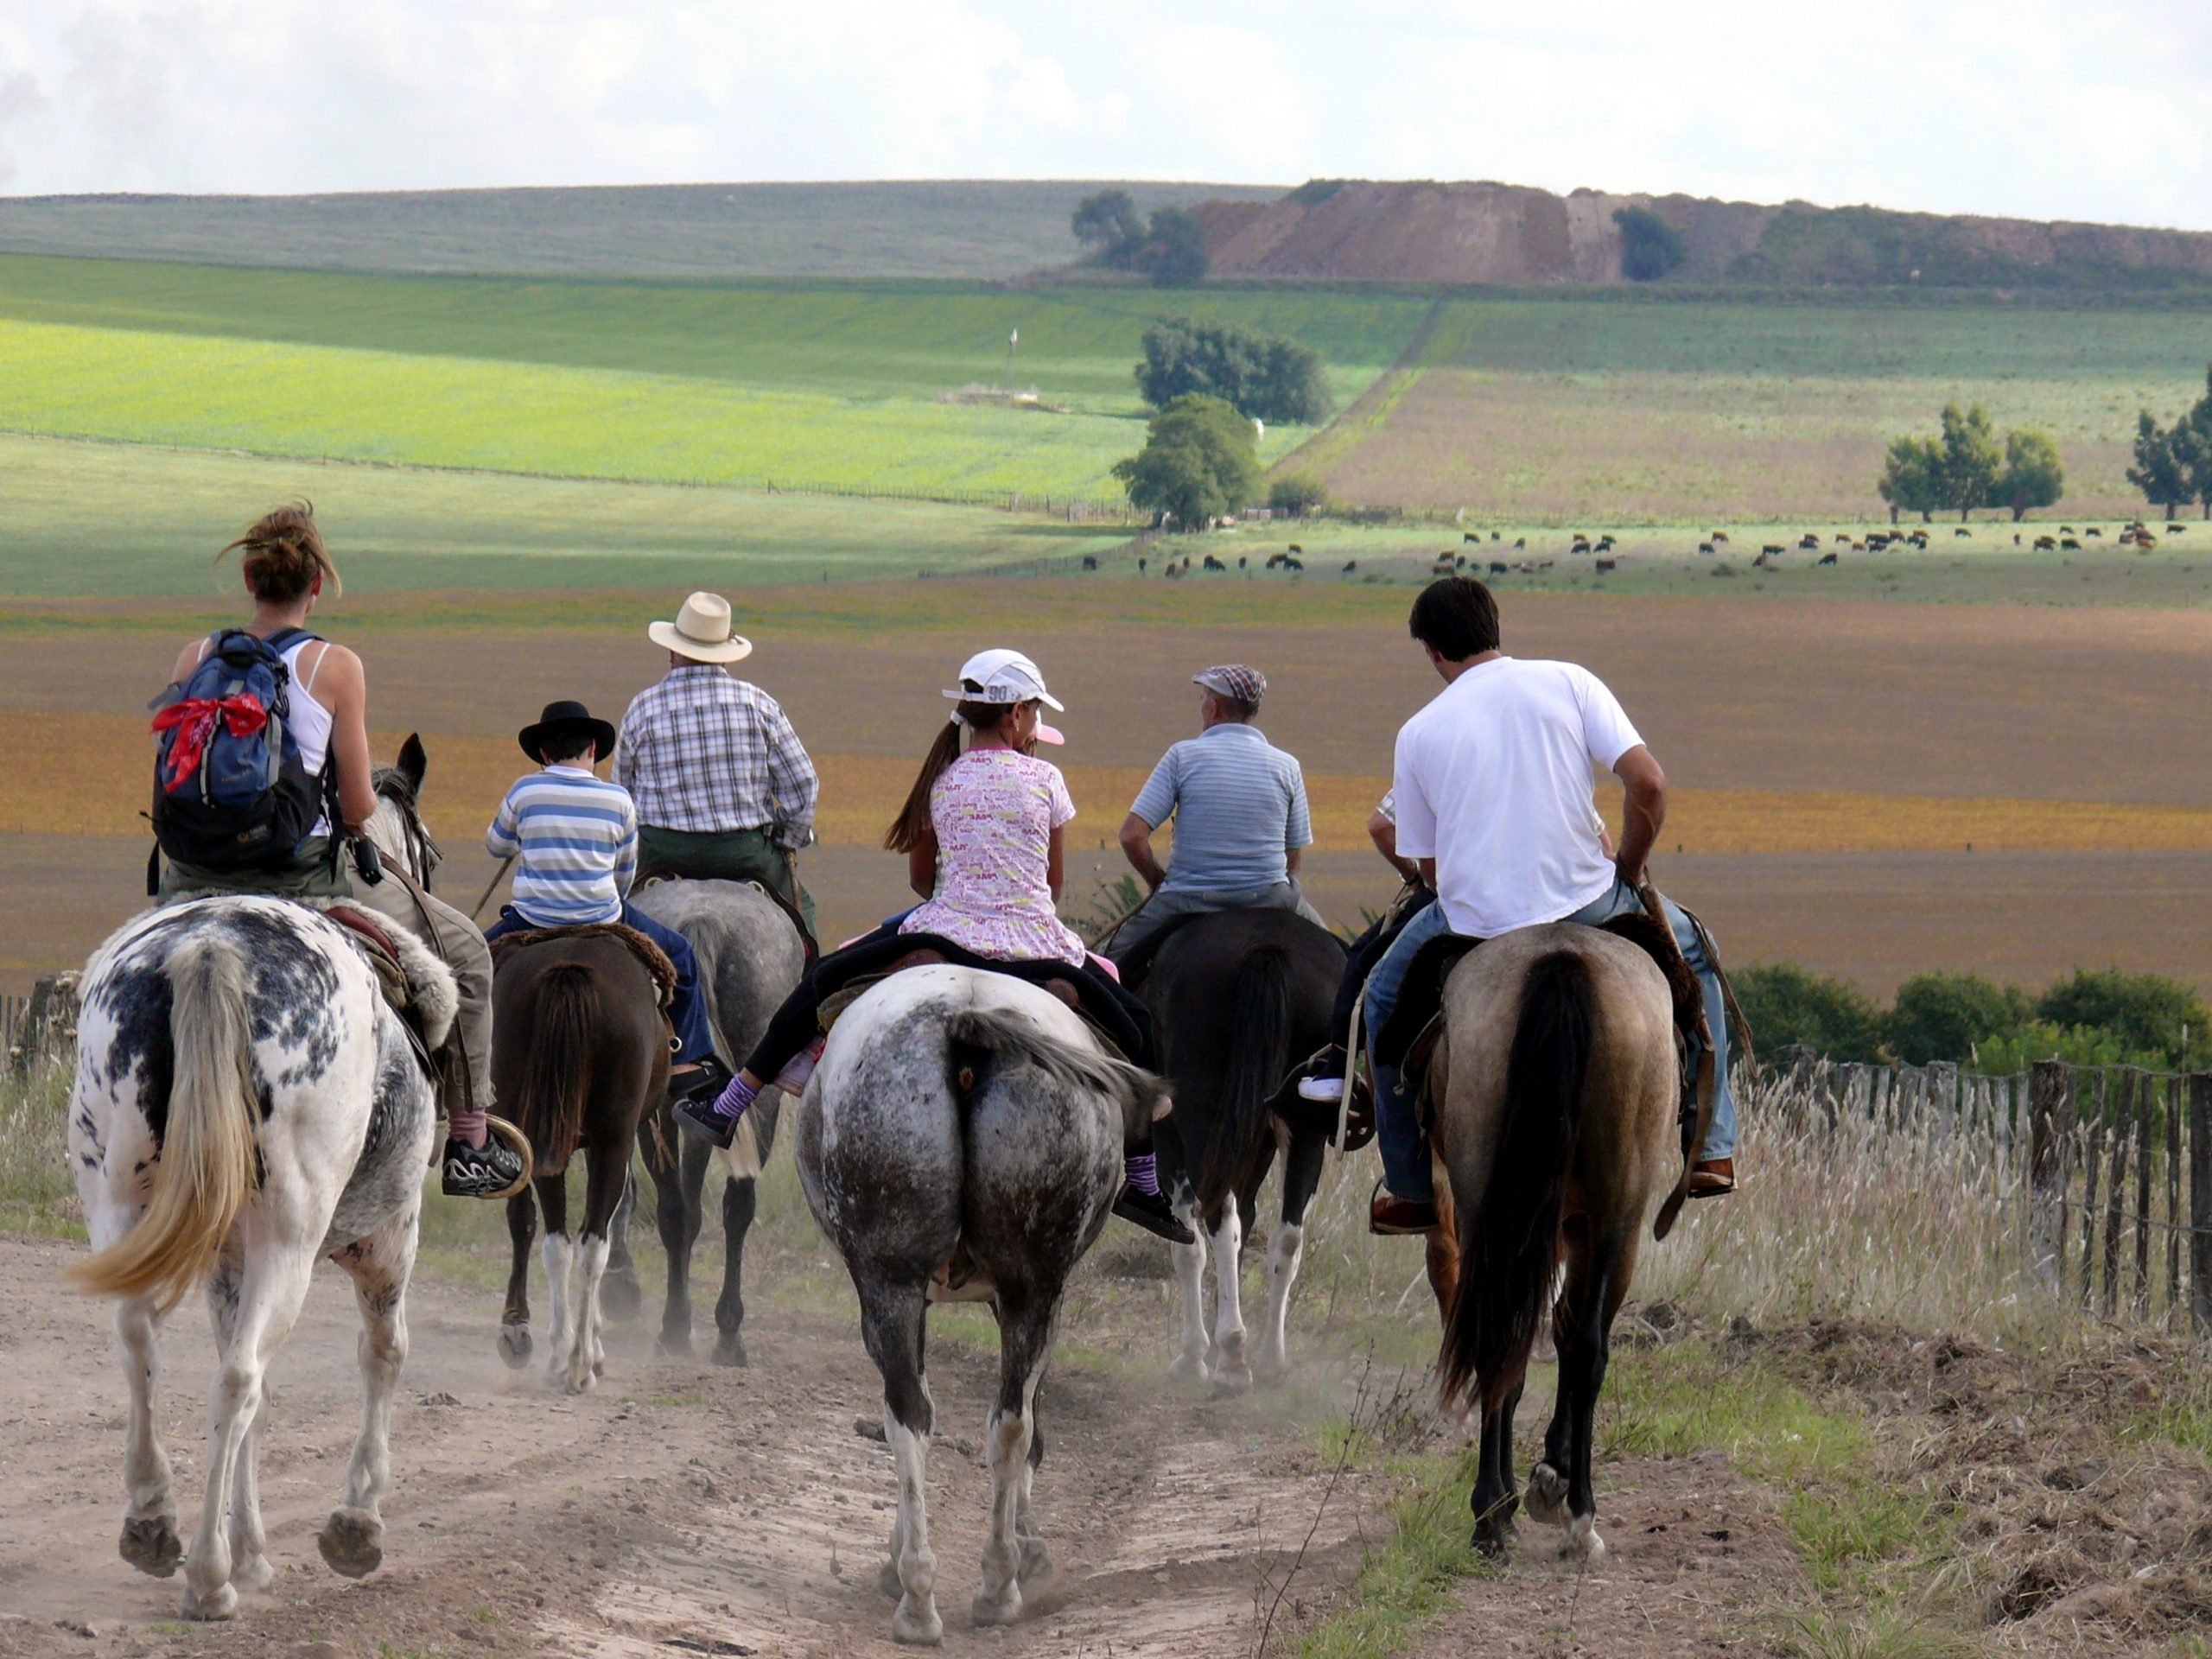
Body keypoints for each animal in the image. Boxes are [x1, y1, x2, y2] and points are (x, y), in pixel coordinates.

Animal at [495, 938, 672, 1389]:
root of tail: (571, 970)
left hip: (534, 1131)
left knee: (555, 1239)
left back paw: (556, 1351)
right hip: (611, 1138)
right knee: (590, 1242)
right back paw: (577, 1360)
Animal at [619, 885, 809, 1362]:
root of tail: (703, 921)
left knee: (675, 1210)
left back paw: (675, 1326)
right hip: (760, 1097)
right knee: (736, 1207)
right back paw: (726, 1331)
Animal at [800, 969, 1176, 1645]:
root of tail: (963, 1019)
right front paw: (1028, 1550)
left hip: (891, 1281)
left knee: (912, 1416)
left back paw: (920, 1597)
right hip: (1031, 1285)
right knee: (1008, 1422)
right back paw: (997, 1586)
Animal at [1150, 911, 1336, 1389]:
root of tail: (1266, 949)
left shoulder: (1169, 1141)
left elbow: (1188, 1246)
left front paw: (1194, 1356)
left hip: (1200, 1121)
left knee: (1221, 1222)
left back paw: (1231, 1356)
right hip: (1305, 1130)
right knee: (1286, 1237)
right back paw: (1269, 1358)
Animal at [1415, 929, 1672, 1566]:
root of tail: (1563, 958)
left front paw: (1531, 1487)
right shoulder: (1589, 1230)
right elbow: (1569, 1334)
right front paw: (1553, 1479)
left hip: (1498, 1207)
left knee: (1503, 1340)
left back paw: (1491, 1517)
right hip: (1616, 1216)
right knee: (1580, 1346)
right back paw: (1576, 1514)